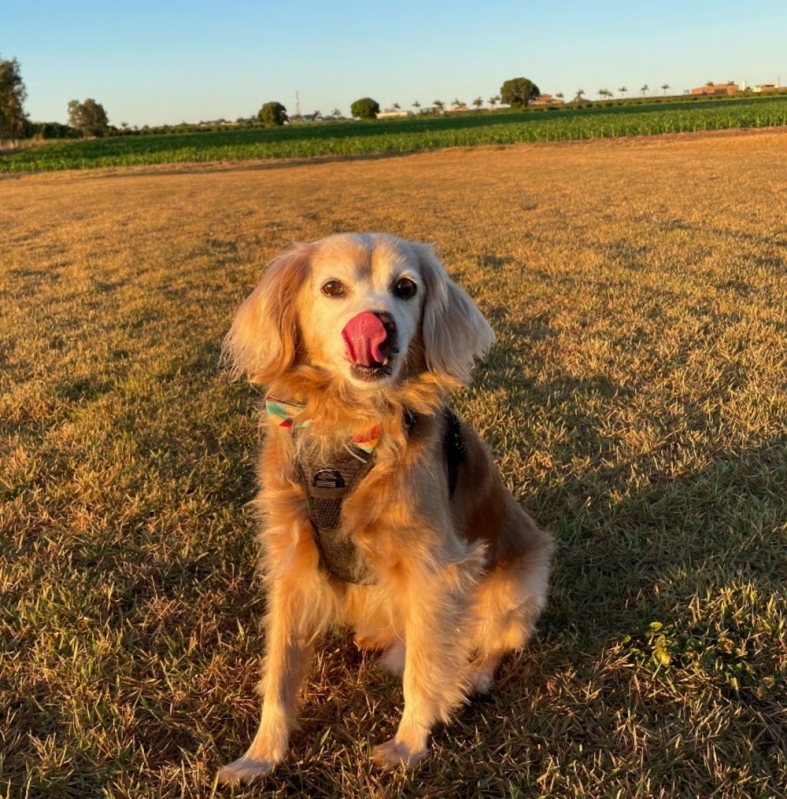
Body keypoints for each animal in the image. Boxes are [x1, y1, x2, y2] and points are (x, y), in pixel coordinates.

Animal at [219, 234, 556, 784]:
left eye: (405, 288)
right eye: (332, 288)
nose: (377, 325)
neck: (347, 428)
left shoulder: (436, 570)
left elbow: (423, 671)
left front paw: (408, 745)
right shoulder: (290, 565)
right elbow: (280, 671)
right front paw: (261, 755)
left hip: (515, 582)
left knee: (496, 639)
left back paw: (477, 673)